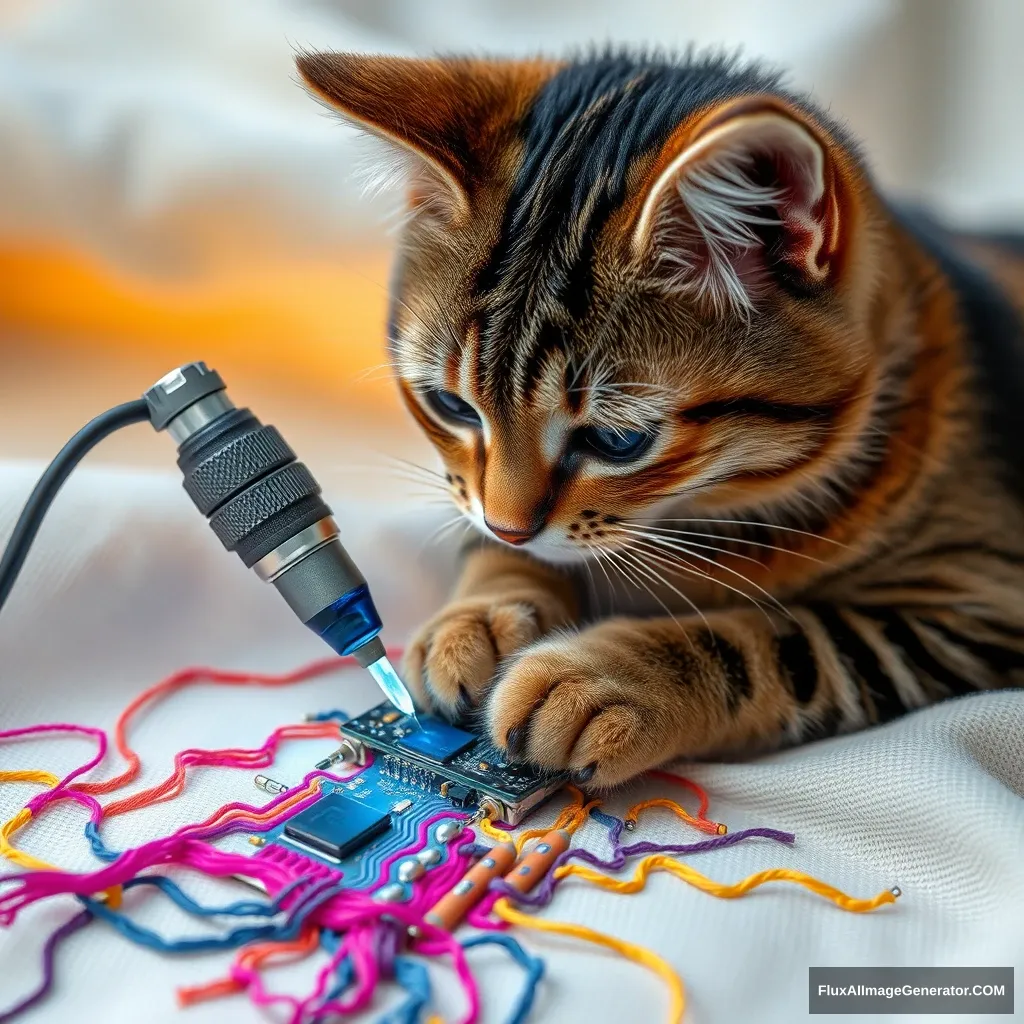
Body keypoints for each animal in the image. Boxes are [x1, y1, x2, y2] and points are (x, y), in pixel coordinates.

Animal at [296, 49, 1024, 782]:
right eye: (451, 406)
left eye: (618, 441)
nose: (510, 528)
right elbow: (490, 530)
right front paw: (479, 615)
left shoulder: (980, 599)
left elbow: (782, 639)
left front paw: (604, 678)